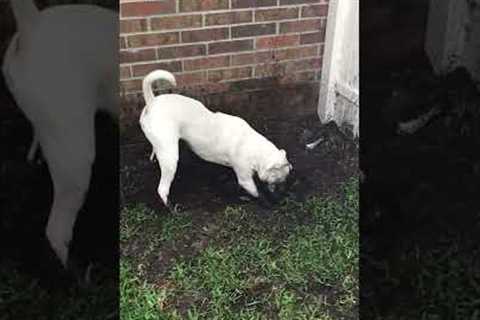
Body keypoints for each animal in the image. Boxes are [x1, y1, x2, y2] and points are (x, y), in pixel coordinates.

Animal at [137, 69, 290, 208]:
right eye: (280, 179)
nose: (283, 193)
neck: (253, 147)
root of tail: (151, 102)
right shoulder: (245, 177)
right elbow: (256, 192)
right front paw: (266, 201)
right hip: (170, 157)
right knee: (162, 188)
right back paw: (170, 207)